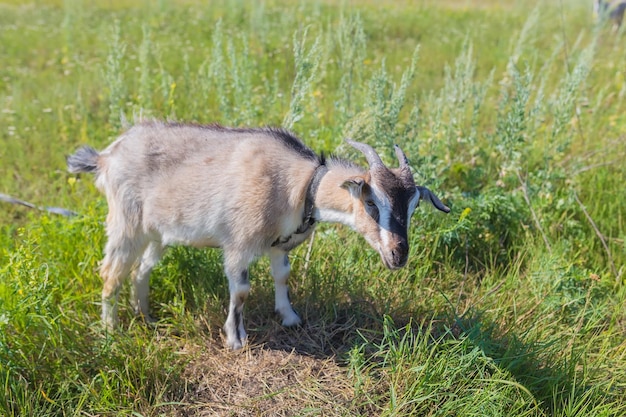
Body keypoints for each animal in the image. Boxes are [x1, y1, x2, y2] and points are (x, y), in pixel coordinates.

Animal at [67, 120, 448, 348]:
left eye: (414, 207)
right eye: (370, 202)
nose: (398, 255)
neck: (298, 183)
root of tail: (106, 157)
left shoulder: (279, 245)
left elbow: (283, 276)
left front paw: (290, 318)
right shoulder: (238, 243)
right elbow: (241, 291)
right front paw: (235, 339)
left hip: (158, 233)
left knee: (142, 270)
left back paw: (146, 316)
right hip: (126, 221)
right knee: (111, 272)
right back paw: (111, 330)